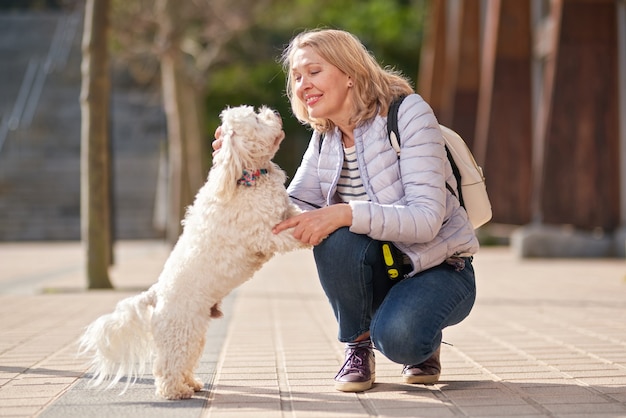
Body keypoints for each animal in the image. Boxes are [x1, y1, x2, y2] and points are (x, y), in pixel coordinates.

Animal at [78, 104, 308, 398]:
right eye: (257, 119)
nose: (277, 112)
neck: (245, 176)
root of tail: (156, 294)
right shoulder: (266, 234)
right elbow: (291, 234)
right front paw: (316, 234)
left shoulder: (284, 212)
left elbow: (297, 213)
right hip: (181, 333)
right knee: (166, 366)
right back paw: (175, 391)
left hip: (195, 334)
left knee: (185, 362)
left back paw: (192, 383)